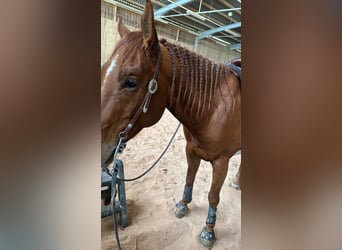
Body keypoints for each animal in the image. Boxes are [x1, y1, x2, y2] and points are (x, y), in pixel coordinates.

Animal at [101, 0, 240, 246]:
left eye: (130, 81)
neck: (212, 108)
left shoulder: (222, 162)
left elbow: (213, 196)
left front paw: (208, 230)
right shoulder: (191, 150)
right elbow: (189, 178)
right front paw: (183, 205)